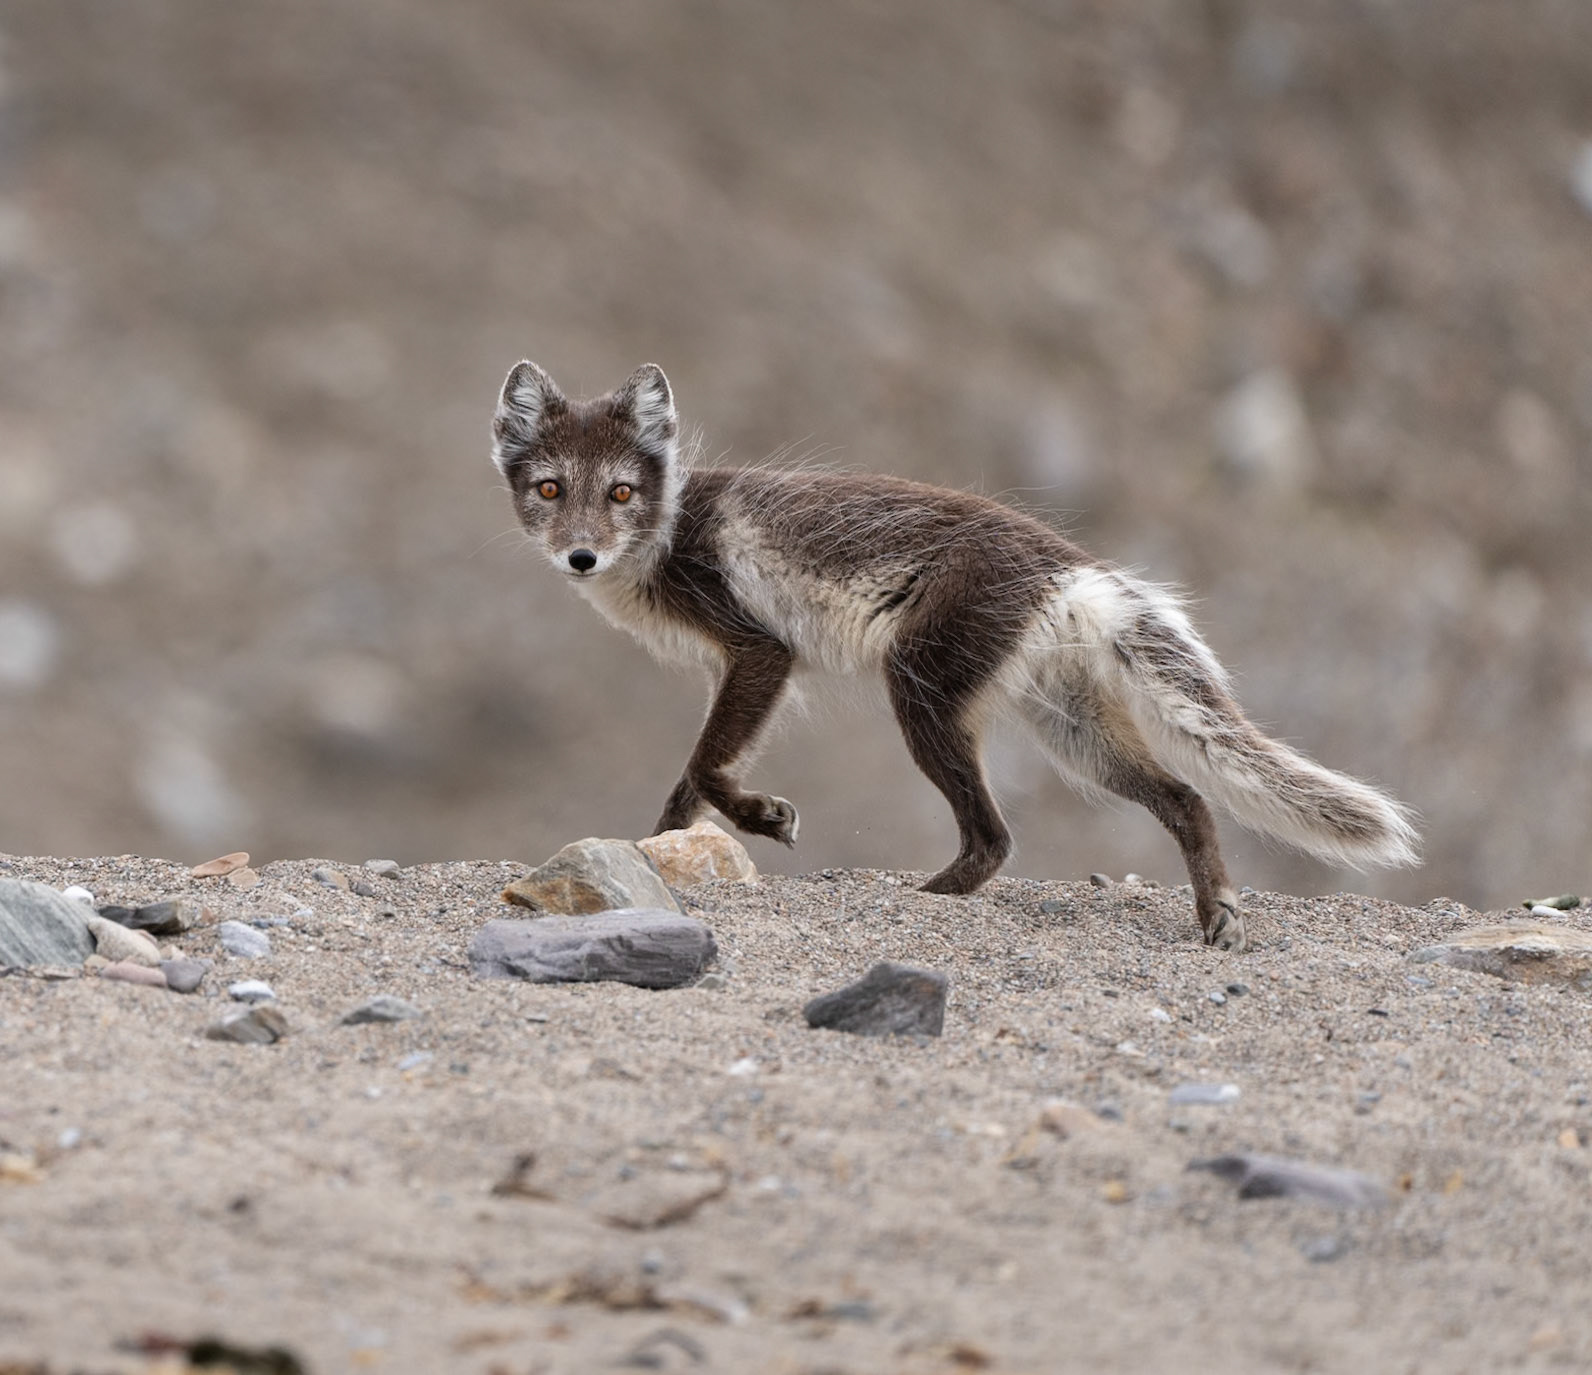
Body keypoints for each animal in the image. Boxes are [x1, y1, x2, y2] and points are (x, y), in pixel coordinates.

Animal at [490, 360, 1419, 952]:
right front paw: (655, 852)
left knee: (997, 838)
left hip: (923, 694)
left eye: (620, 491)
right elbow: (684, 789)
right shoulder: (748, 663)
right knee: (1186, 797)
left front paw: (762, 817)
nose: (581, 557)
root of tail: (1071, 565)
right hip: (1073, 734)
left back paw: (929, 898)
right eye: (549, 489)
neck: (672, 526)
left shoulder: (759, 648)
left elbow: (708, 766)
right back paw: (1217, 912)